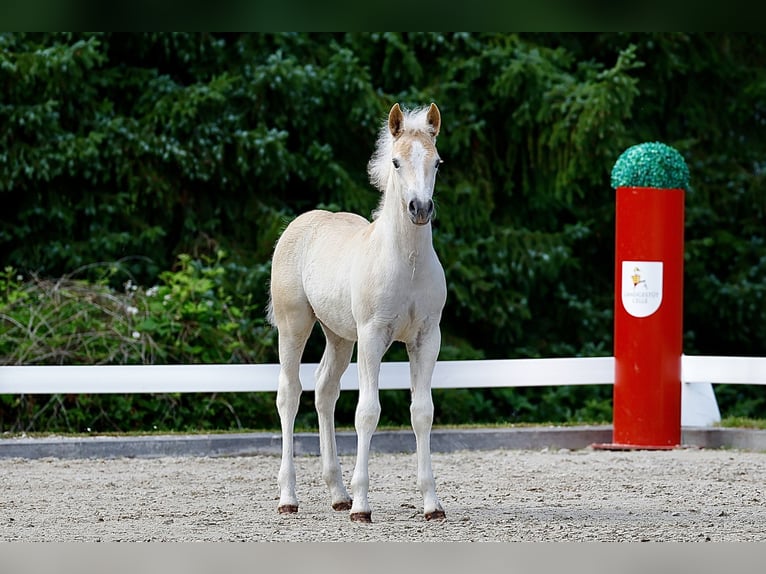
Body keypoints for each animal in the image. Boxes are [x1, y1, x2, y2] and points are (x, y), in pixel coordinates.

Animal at [267, 103, 447, 523]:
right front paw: (363, 506)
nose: (420, 209)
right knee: (290, 394)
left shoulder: (427, 338)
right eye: (396, 162)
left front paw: (432, 505)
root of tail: (299, 224)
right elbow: (367, 411)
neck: (406, 263)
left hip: (338, 336)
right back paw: (289, 497)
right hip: (295, 326)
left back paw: (337, 494)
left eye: (437, 162)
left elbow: (422, 411)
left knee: (324, 391)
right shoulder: (372, 335)